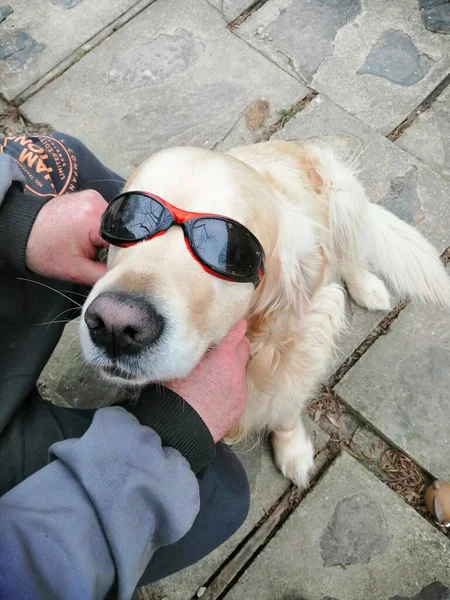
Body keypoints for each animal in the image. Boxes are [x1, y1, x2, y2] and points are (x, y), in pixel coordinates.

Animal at [79, 141, 450, 488]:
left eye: (232, 250)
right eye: (123, 221)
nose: (114, 325)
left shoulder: (301, 351)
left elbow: (285, 409)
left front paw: (293, 450)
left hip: (344, 197)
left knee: (351, 254)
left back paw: (367, 287)